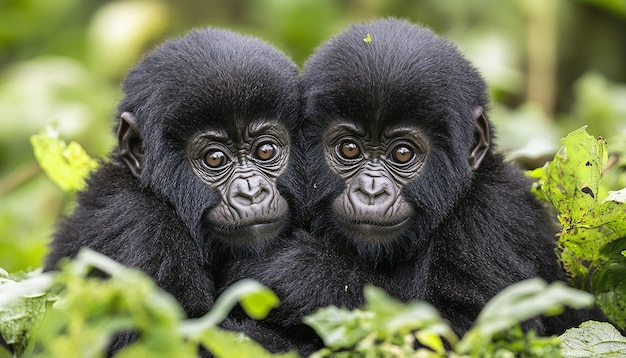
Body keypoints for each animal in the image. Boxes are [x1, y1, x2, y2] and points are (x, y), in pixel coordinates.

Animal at [219, 18, 596, 354]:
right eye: (349, 149)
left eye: (402, 153)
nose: (371, 191)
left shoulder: (491, 217)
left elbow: (469, 335)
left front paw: (303, 272)